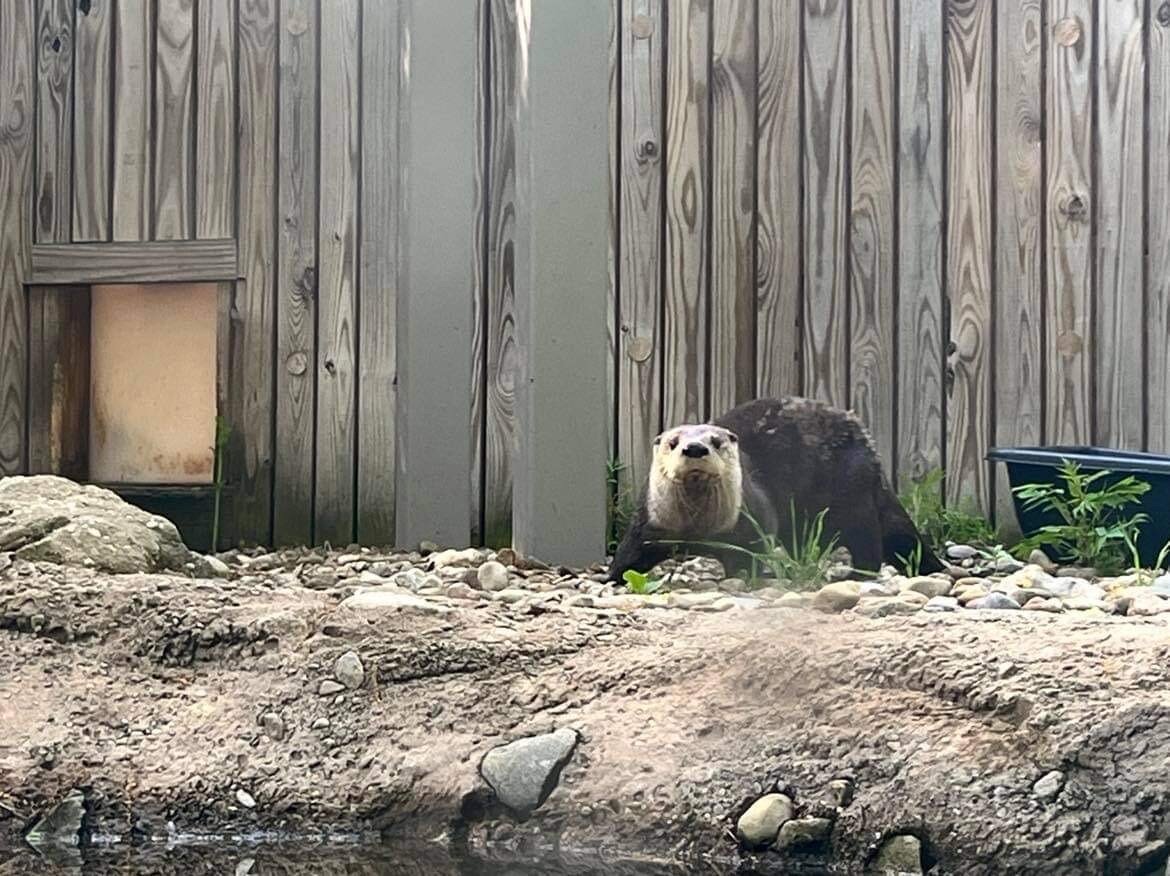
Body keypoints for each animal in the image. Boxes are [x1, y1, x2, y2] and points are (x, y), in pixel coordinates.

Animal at [607, 397, 944, 582]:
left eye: (715, 441)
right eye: (673, 442)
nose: (694, 448)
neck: (697, 529)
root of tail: (869, 449)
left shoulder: (752, 521)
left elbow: (749, 554)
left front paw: (747, 576)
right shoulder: (649, 522)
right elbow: (629, 552)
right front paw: (613, 578)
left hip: (853, 493)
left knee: (867, 543)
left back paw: (856, 574)